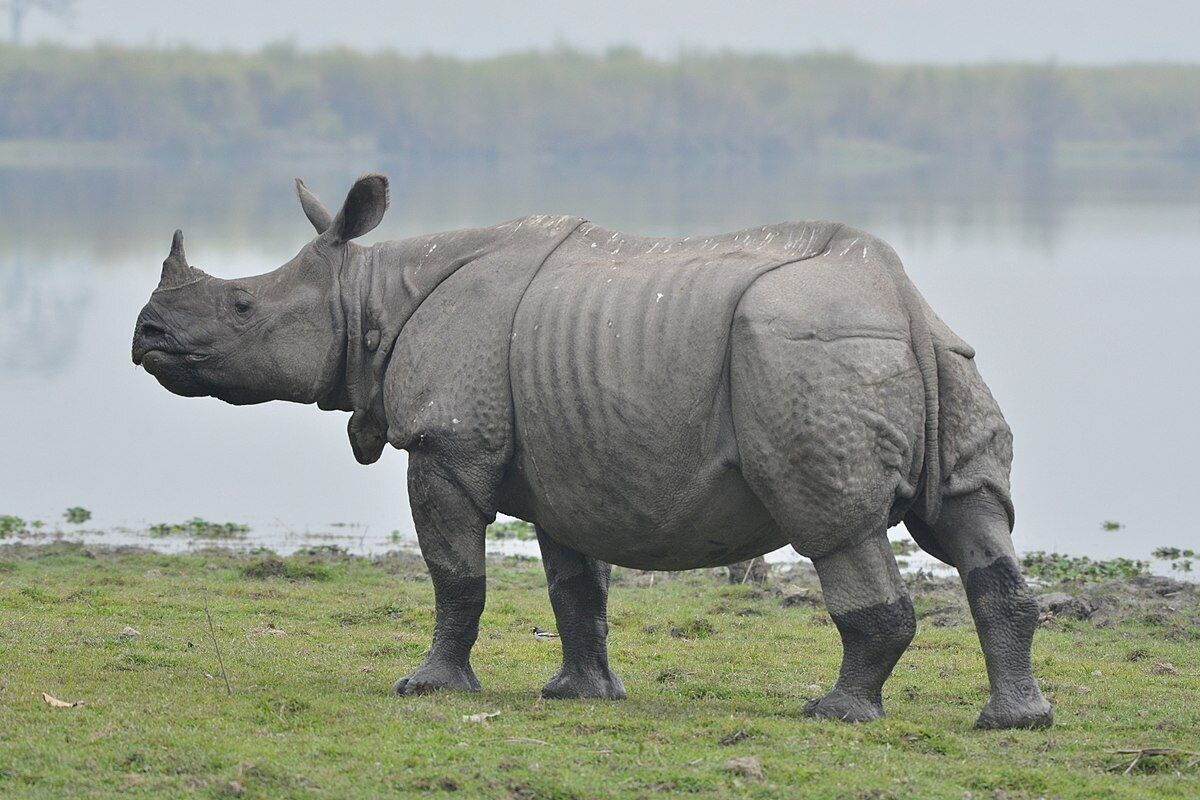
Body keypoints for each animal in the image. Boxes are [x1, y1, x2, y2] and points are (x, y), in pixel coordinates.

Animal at [132, 174, 1052, 729]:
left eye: (242, 307)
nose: (146, 336)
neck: (369, 297)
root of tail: (899, 300)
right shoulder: (568, 458)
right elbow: (575, 588)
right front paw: (581, 695)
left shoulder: (448, 443)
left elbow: (455, 576)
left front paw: (427, 687)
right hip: (936, 357)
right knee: (972, 521)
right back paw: (1014, 721)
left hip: (806, 354)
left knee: (835, 524)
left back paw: (835, 713)